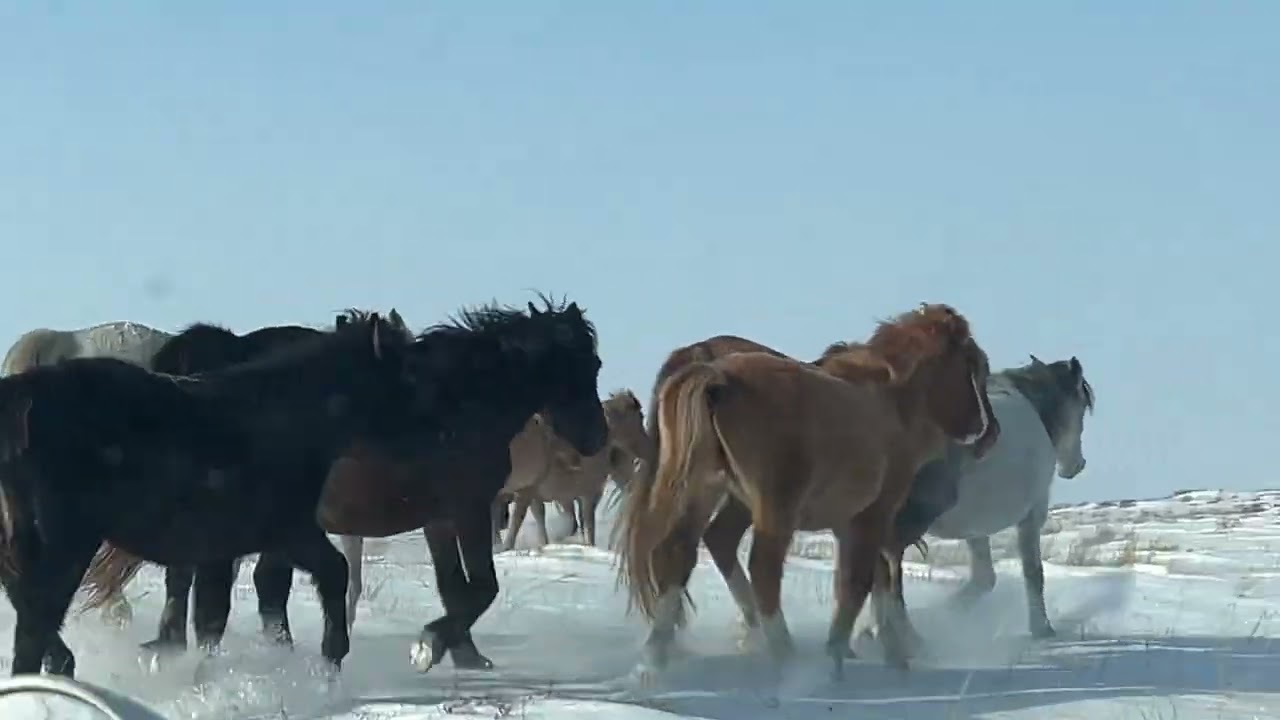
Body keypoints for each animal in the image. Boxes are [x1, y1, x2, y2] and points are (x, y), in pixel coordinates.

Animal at [0, 311, 424, 677]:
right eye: (409, 373)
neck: (283, 417)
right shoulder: (288, 531)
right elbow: (325, 574)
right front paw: (328, 659)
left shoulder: (224, 547)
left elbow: (211, 613)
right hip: (65, 543)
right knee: (36, 618)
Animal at [80, 298, 610, 675]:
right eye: (587, 366)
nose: (597, 438)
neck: (459, 403)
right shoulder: (468, 508)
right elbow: (481, 587)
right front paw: (432, 646)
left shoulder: (438, 518)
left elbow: (454, 587)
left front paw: (456, 652)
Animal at [614, 304, 1001, 682]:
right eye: (974, 366)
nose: (987, 432)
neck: (891, 401)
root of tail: (715, 376)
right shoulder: (874, 514)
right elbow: (860, 581)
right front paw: (840, 654)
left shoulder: (850, 522)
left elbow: (868, 579)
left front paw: (889, 650)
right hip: (774, 504)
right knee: (763, 568)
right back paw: (783, 652)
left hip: (703, 489)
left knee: (678, 554)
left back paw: (654, 657)